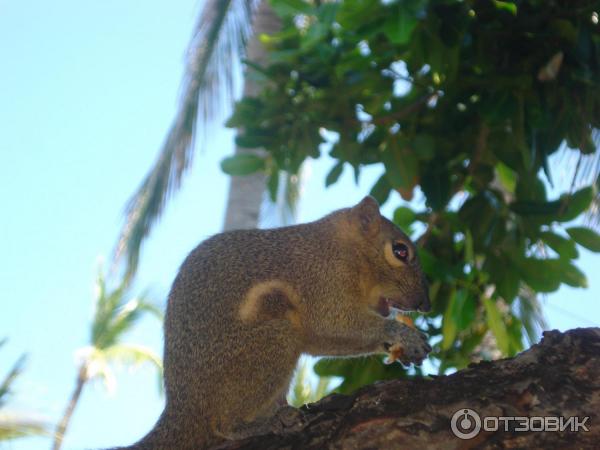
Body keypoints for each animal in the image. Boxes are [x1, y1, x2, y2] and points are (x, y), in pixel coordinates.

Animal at [123, 197, 432, 450]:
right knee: (223, 425)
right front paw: (403, 335)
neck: (340, 248)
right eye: (400, 251)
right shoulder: (321, 283)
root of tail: (183, 410)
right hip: (271, 344)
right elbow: (333, 324)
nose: (425, 305)